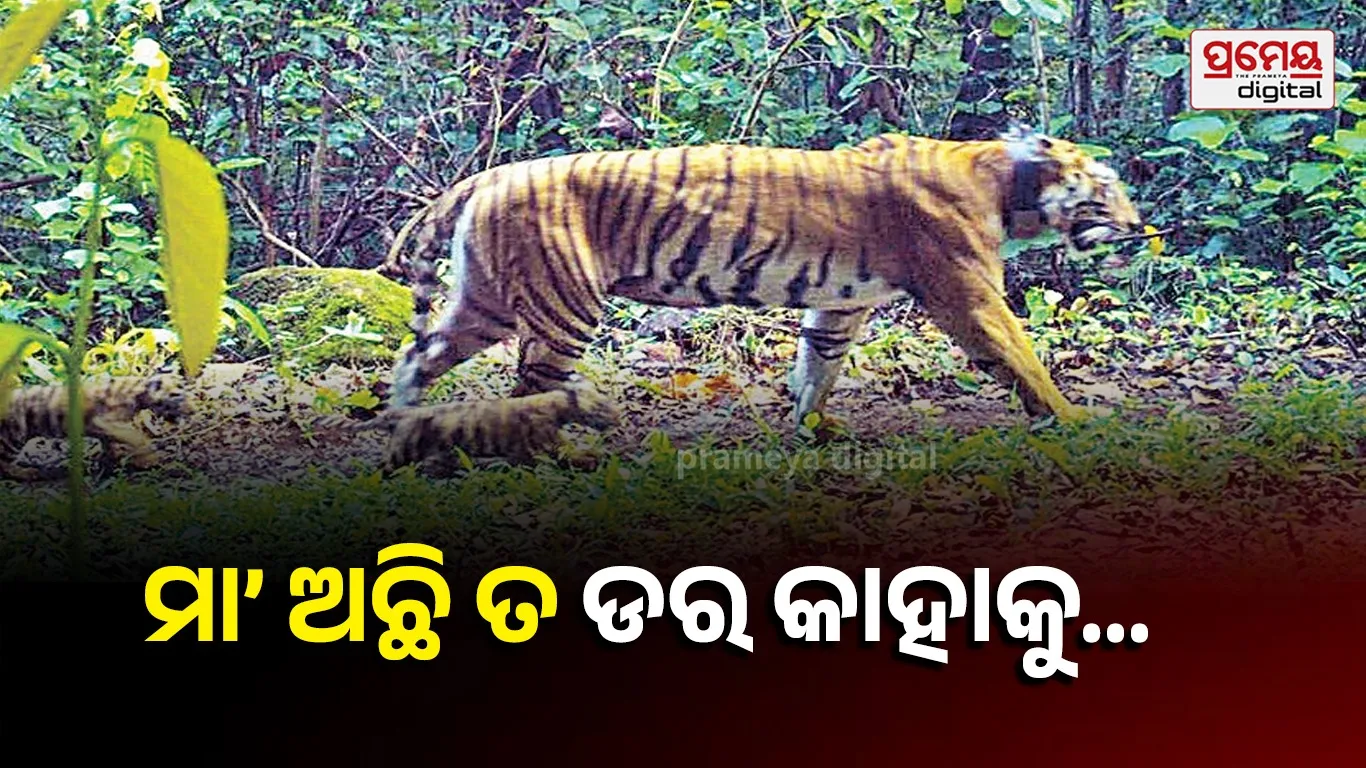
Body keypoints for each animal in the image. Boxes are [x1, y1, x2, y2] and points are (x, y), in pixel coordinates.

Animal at [0, 374, 187, 481]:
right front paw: (152, 457)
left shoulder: (107, 431)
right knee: (5, 466)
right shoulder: (104, 422)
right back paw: (29, 473)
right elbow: (137, 438)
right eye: (176, 394)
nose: (190, 409)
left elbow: (114, 447)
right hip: (12, 438)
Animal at [311, 383, 619, 475]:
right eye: (603, 407)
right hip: (400, 453)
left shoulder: (525, 451)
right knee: (381, 468)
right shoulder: (549, 445)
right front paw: (596, 459)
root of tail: (396, 412)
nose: (618, 417)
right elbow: (575, 454)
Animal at [378, 123, 1143, 460]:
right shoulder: (969, 294)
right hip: (560, 307)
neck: (1007, 188)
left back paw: (405, 428)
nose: (1140, 228)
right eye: (1107, 188)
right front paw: (1075, 419)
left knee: (418, 358)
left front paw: (810, 428)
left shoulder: (842, 301)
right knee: (531, 390)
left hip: (486, 302)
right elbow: (1024, 359)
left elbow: (818, 366)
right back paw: (555, 455)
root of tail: (490, 176)